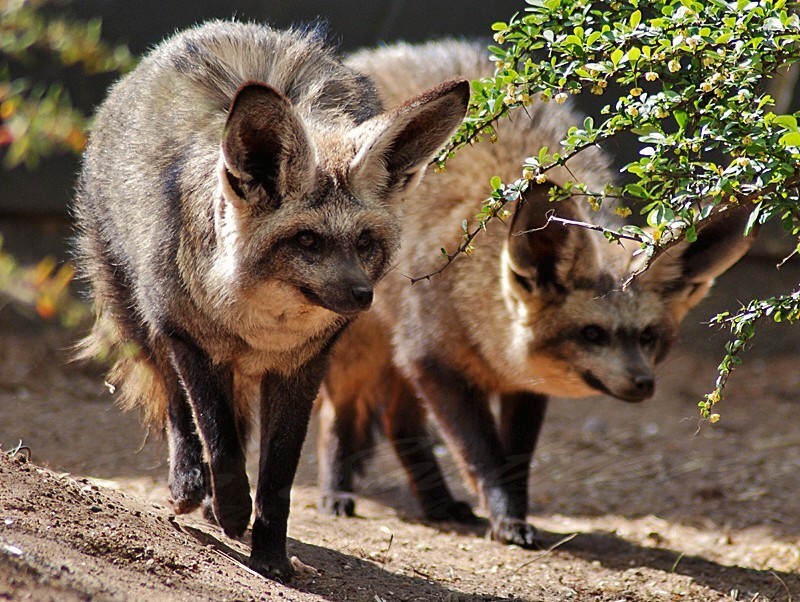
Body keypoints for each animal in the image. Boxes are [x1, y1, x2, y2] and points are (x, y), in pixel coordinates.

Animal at [72, 21, 469, 580]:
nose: (363, 296)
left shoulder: (302, 367)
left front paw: (271, 555)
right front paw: (230, 509)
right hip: (143, 318)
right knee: (177, 408)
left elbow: (277, 477)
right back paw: (188, 485)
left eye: (365, 243)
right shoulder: (193, 343)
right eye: (307, 241)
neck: (260, 329)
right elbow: (221, 446)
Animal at [316, 40, 756, 547]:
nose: (643, 384)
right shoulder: (432, 361)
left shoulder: (522, 384)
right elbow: (484, 456)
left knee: (398, 424)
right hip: (361, 353)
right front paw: (506, 520)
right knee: (338, 416)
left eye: (647, 337)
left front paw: (513, 513)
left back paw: (438, 505)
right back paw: (335, 493)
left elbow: (514, 461)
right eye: (592, 334)